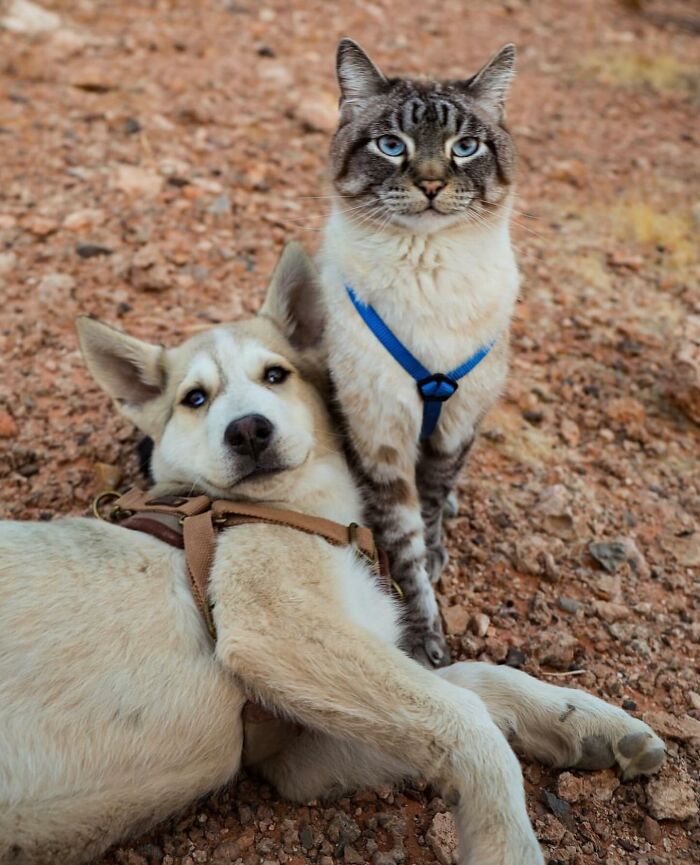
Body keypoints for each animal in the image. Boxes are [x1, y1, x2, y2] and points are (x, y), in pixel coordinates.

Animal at [0, 245, 664, 864]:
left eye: (276, 375)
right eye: (194, 399)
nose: (248, 430)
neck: (295, 511)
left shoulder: (298, 750)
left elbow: (475, 681)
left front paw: (584, 721)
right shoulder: (276, 631)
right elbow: (468, 716)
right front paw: (507, 839)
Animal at [318, 37, 520, 664]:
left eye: (465, 147)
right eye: (391, 145)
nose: (431, 184)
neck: (426, 273)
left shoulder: (451, 430)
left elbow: (429, 513)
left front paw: (435, 555)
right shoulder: (380, 442)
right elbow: (403, 550)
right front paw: (427, 642)